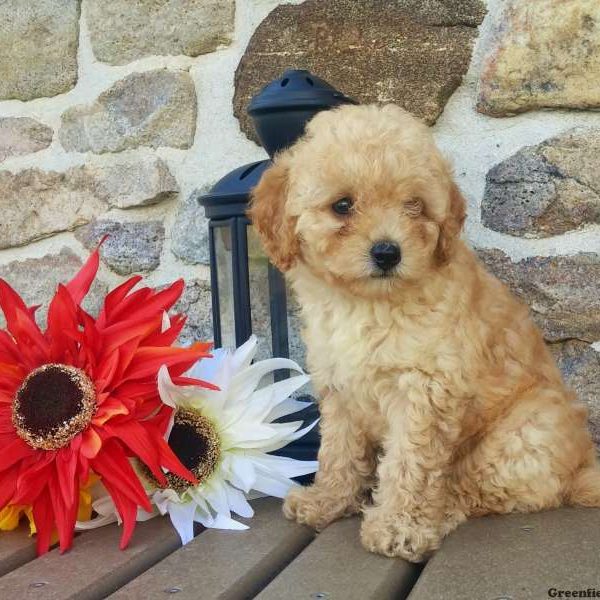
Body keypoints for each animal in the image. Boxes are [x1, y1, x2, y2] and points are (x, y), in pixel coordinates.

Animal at [247, 104, 600, 564]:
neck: (367, 304)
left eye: (414, 205)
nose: (387, 252)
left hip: (526, 433)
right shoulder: (339, 389)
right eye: (342, 206)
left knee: (474, 491)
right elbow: (338, 452)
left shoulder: (425, 390)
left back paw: (439, 512)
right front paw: (327, 501)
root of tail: (581, 472)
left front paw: (399, 527)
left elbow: (409, 465)